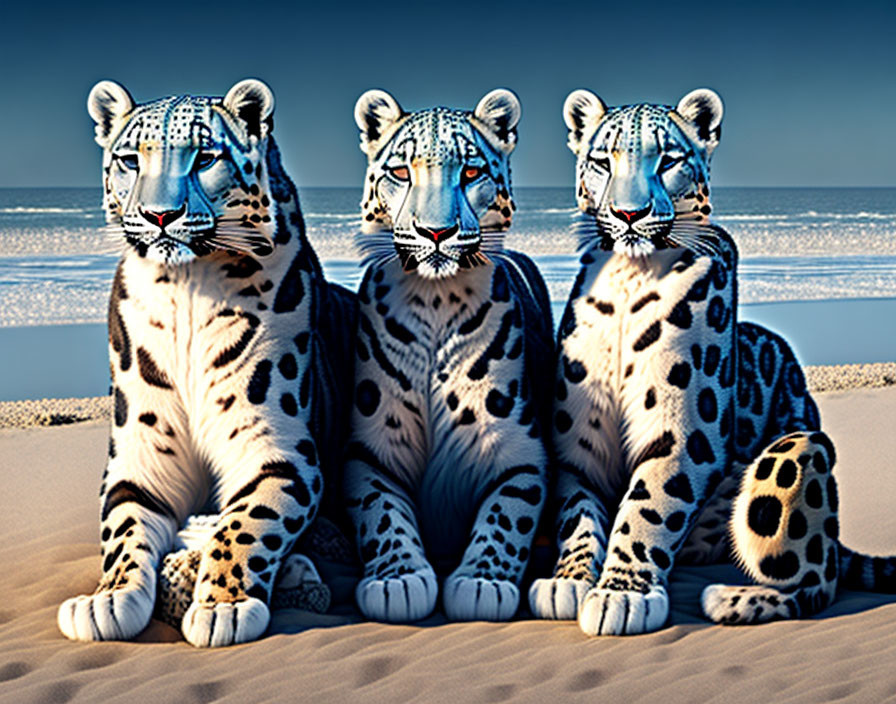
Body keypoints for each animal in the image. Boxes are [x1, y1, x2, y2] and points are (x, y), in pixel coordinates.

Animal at [54, 80, 356, 648]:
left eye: (205, 157)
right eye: (130, 159)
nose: (160, 215)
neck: (187, 286)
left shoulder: (276, 447)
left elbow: (247, 523)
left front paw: (224, 605)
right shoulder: (141, 451)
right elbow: (123, 527)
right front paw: (106, 600)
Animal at [344, 88, 552, 620]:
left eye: (472, 171)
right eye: (401, 171)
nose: (435, 232)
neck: (435, 302)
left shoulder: (522, 453)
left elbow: (507, 514)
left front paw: (482, 582)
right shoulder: (368, 451)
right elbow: (379, 510)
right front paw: (397, 580)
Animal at [528, 85, 896, 636]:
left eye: (668, 159)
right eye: (602, 160)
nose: (630, 214)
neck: (627, 275)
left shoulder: (680, 433)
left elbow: (646, 508)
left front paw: (622, 594)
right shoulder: (579, 444)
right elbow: (579, 515)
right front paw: (567, 581)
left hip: (796, 450)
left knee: (819, 575)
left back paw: (738, 599)